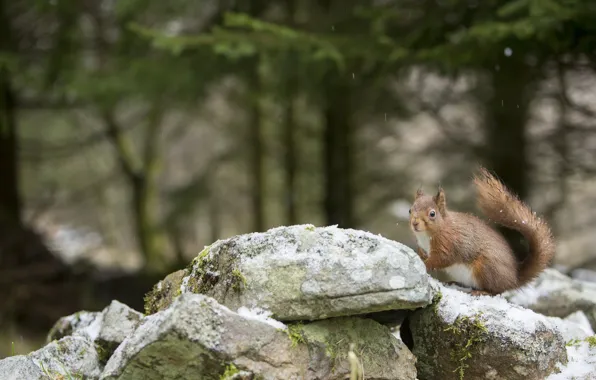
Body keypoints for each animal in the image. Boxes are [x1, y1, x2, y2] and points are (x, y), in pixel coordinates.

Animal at [408, 168, 556, 296]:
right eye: (410, 210)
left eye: (432, 214)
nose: (414, 223)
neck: (426, 235)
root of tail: (513, 279)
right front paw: (420, 255)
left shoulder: (449, 243)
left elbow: (442, 258)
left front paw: (426, 264)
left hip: (486, 267)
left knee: (497, 291)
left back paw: (482, 292)